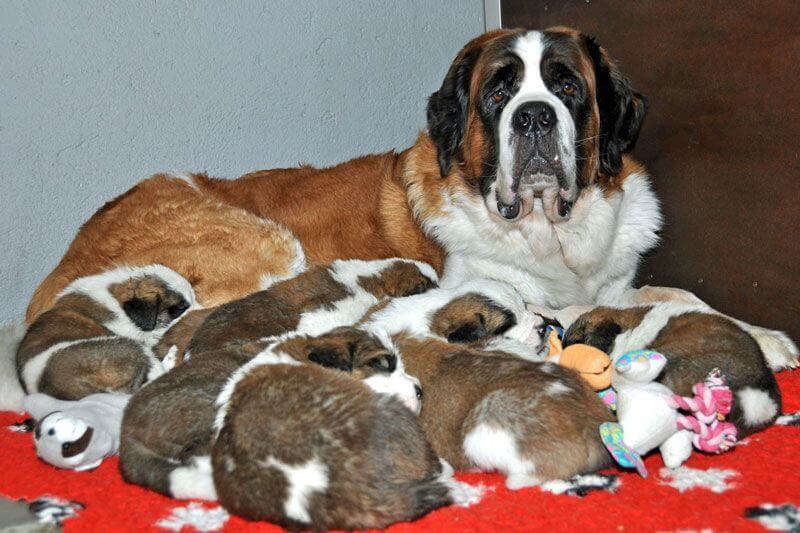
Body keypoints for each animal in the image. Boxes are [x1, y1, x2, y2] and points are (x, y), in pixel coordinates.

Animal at [21, 27, 796, 368]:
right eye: (498, 92)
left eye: (568, 87)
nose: (535, 117)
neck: (550, 237)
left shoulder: (610, 280)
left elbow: (675, 295)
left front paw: (760, 334)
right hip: (260, 241)